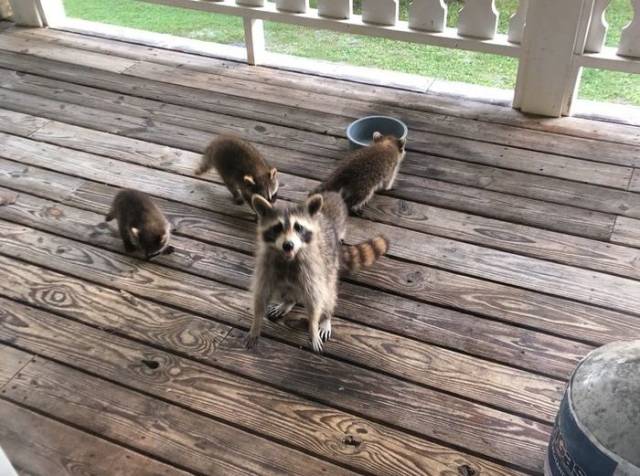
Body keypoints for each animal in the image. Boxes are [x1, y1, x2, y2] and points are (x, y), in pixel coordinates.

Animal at [246, 192, 388, 352]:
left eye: (298, 227)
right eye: (277, 227)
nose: (288, 245)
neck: (289, 258)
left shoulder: (313, 269)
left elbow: (315, 300)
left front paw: (313, 327)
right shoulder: (266, 266)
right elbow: (261, 296)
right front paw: (256, 324)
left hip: (329, 265)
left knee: (328, 293)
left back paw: (326, 316)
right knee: (288, 287)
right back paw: (289, 301)